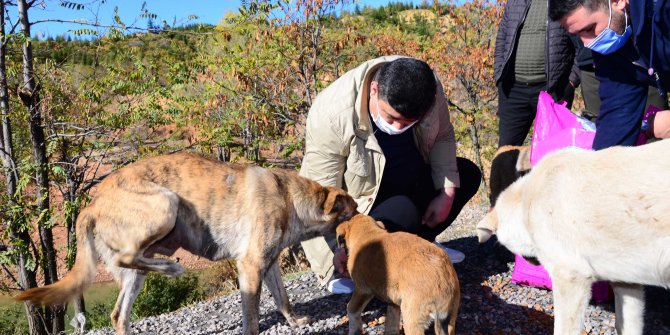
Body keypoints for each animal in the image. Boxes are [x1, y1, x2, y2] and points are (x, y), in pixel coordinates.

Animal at [14, 153, 362, 335]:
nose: (369, 218)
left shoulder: (269, 263)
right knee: (129, 258)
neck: (291, 197)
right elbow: (251, 314)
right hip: (165, 205)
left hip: (135, 276)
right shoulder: (250, 266)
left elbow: (283, 298)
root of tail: (92, 205)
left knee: (118, 313)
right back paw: (170, 267)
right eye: (353, 211)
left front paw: (295, 320)